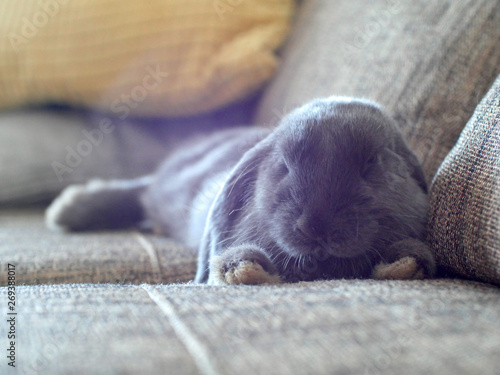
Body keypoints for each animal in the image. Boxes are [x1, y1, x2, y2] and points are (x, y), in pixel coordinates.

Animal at [47, 97, 438, 284]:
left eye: (373, 161)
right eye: (283, 165)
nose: (316, 228)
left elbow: (406, 259)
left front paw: (405, 263)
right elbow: (231, 261)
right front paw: (243, 269)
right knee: (142, 192)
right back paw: (68, 210)